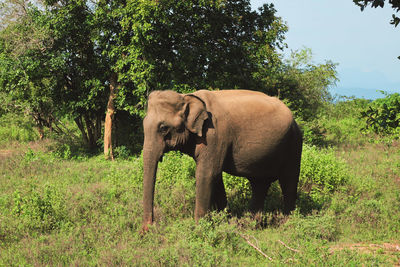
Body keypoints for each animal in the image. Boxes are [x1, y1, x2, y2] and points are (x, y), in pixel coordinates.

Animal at [142, 89, 302, 230]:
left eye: (163, 128)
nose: (148, 229)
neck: (186, 96)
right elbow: (216, 177)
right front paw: (225, 222)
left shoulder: (215, 136)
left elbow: (207, 174)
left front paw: (199, 229)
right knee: (259, 184)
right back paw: (252, 226)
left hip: (294, 144)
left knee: (288, 182)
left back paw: (286, 225)